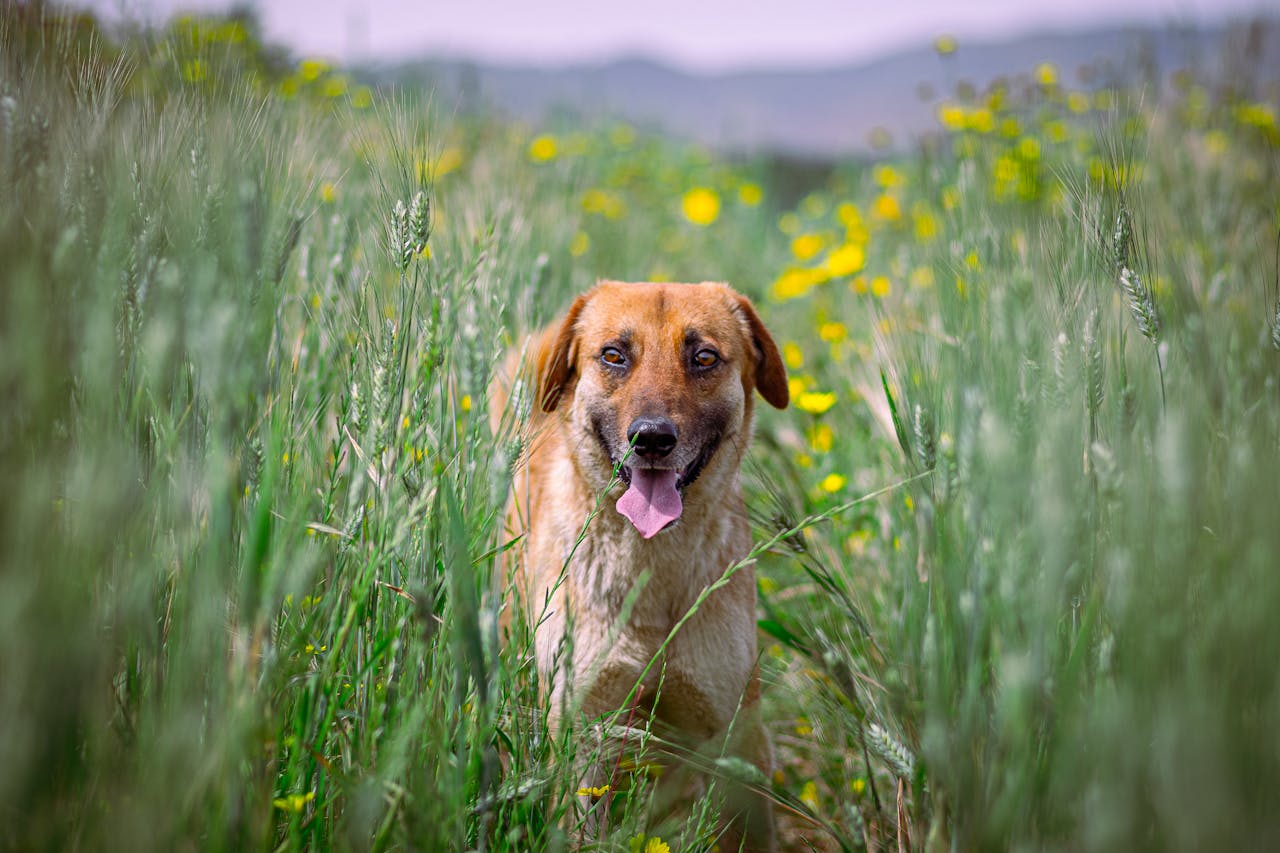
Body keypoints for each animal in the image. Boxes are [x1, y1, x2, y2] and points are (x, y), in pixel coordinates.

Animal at [491, 277, 783, 845]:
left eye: (704, 357)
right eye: (613, 355)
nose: (651, 438)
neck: (653, 572)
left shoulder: (733, 736)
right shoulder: (583, 734)